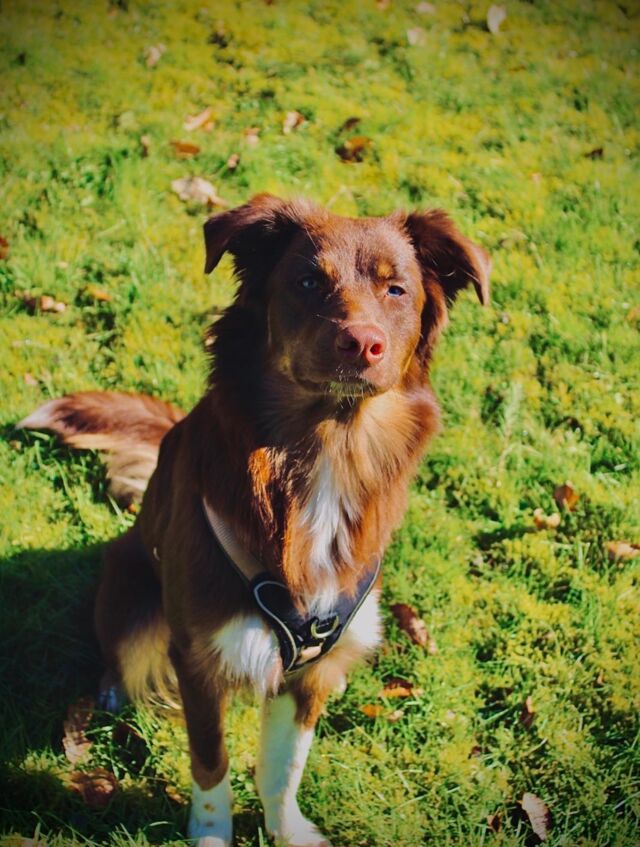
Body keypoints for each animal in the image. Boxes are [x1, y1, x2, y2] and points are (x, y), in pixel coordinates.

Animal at [20, 194, 489, 847]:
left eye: (397, 289)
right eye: (307, 281)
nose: (362, 343)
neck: (325, 447)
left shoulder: (307, 671)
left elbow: (282, 765)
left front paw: (286, 828)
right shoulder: (202, 654)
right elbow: (211, 762)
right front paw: (211, 833)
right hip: (134, 592)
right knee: (124, 651)